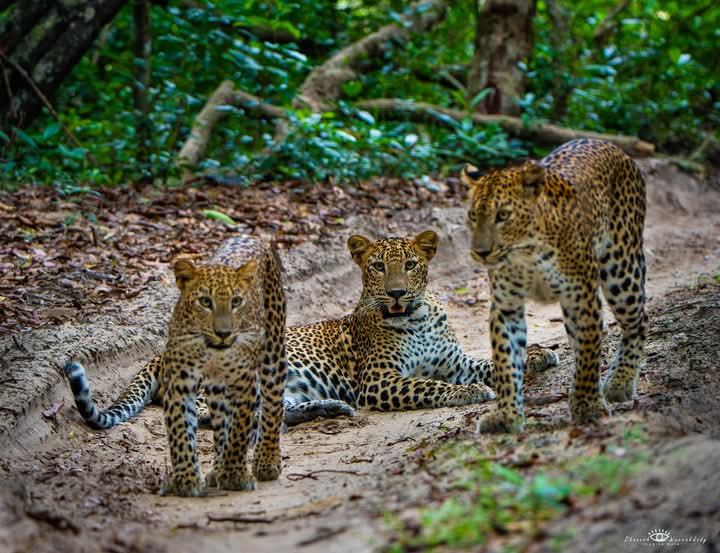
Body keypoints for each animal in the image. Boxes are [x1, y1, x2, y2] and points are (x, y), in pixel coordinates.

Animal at [66, 235, 287, 496]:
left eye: (236, 302)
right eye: (205, 301)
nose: (224, 333)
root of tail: (248, 236)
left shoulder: (244, 383)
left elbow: (239, 430)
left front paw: (234, 473)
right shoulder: (181, 384)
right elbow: (182, 430)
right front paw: (187, 479)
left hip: (273, 350)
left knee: (273, 404)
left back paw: (266, 461)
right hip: (215, 387)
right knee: (221, 421)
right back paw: (217, 468)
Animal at [462, 138, 646, 433]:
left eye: (502, 215)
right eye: (472, 215)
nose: (481, 252)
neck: (527, 252)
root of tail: (610, 145)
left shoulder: (582, 296)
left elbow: (588, 353)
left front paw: (587, 405)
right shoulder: (507, 305)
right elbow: (505, 359)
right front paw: (506, 414)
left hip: (621, 269)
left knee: (637, 321)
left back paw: (620, 381)